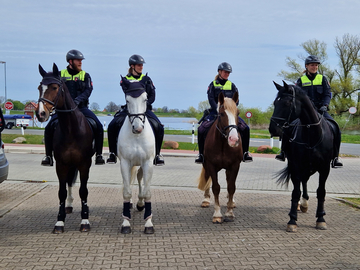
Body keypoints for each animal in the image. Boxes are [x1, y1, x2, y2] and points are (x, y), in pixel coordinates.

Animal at [34, 63, 94, 234]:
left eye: (55, 87)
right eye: (39, 87)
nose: (41, 114)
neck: (70, 128)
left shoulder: (84, 164)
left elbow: (83, 191)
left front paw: (85, 220)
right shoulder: (61, 164)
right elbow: (61, 191)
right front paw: (60, 221)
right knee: (69, 182)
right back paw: (69, 205)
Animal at [117, 89, 155, 234]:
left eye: (145, 99)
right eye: (127, 100)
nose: (137, 128)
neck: (137, 136)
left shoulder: (148, 163)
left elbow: (147, 192)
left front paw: (149, 223)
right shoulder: (124, 163)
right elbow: (126, 192)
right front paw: (126, 223)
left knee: (139, 178)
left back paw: (140, 203)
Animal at [197, 92, 242, 224]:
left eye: (238, 113)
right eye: (221, 114)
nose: (234, 139)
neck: (223, 143)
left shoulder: (234, 166)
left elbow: (231, 187)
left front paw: (229, 212)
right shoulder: (211, 165)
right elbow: (216, 187)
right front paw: (217, 214)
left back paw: (231, 202)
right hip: (206, 165)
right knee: (207, 179)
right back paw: (206, 200)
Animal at [268, 80, 334, 232]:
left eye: (287, 103)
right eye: (275, 102)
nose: (272, 129)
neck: (311, 136)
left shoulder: (324, 168)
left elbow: (321, 191)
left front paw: (321, 219)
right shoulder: (296, 166)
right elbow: (295, 192)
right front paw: (292, 220)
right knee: (303, 182)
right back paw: (301, 204)